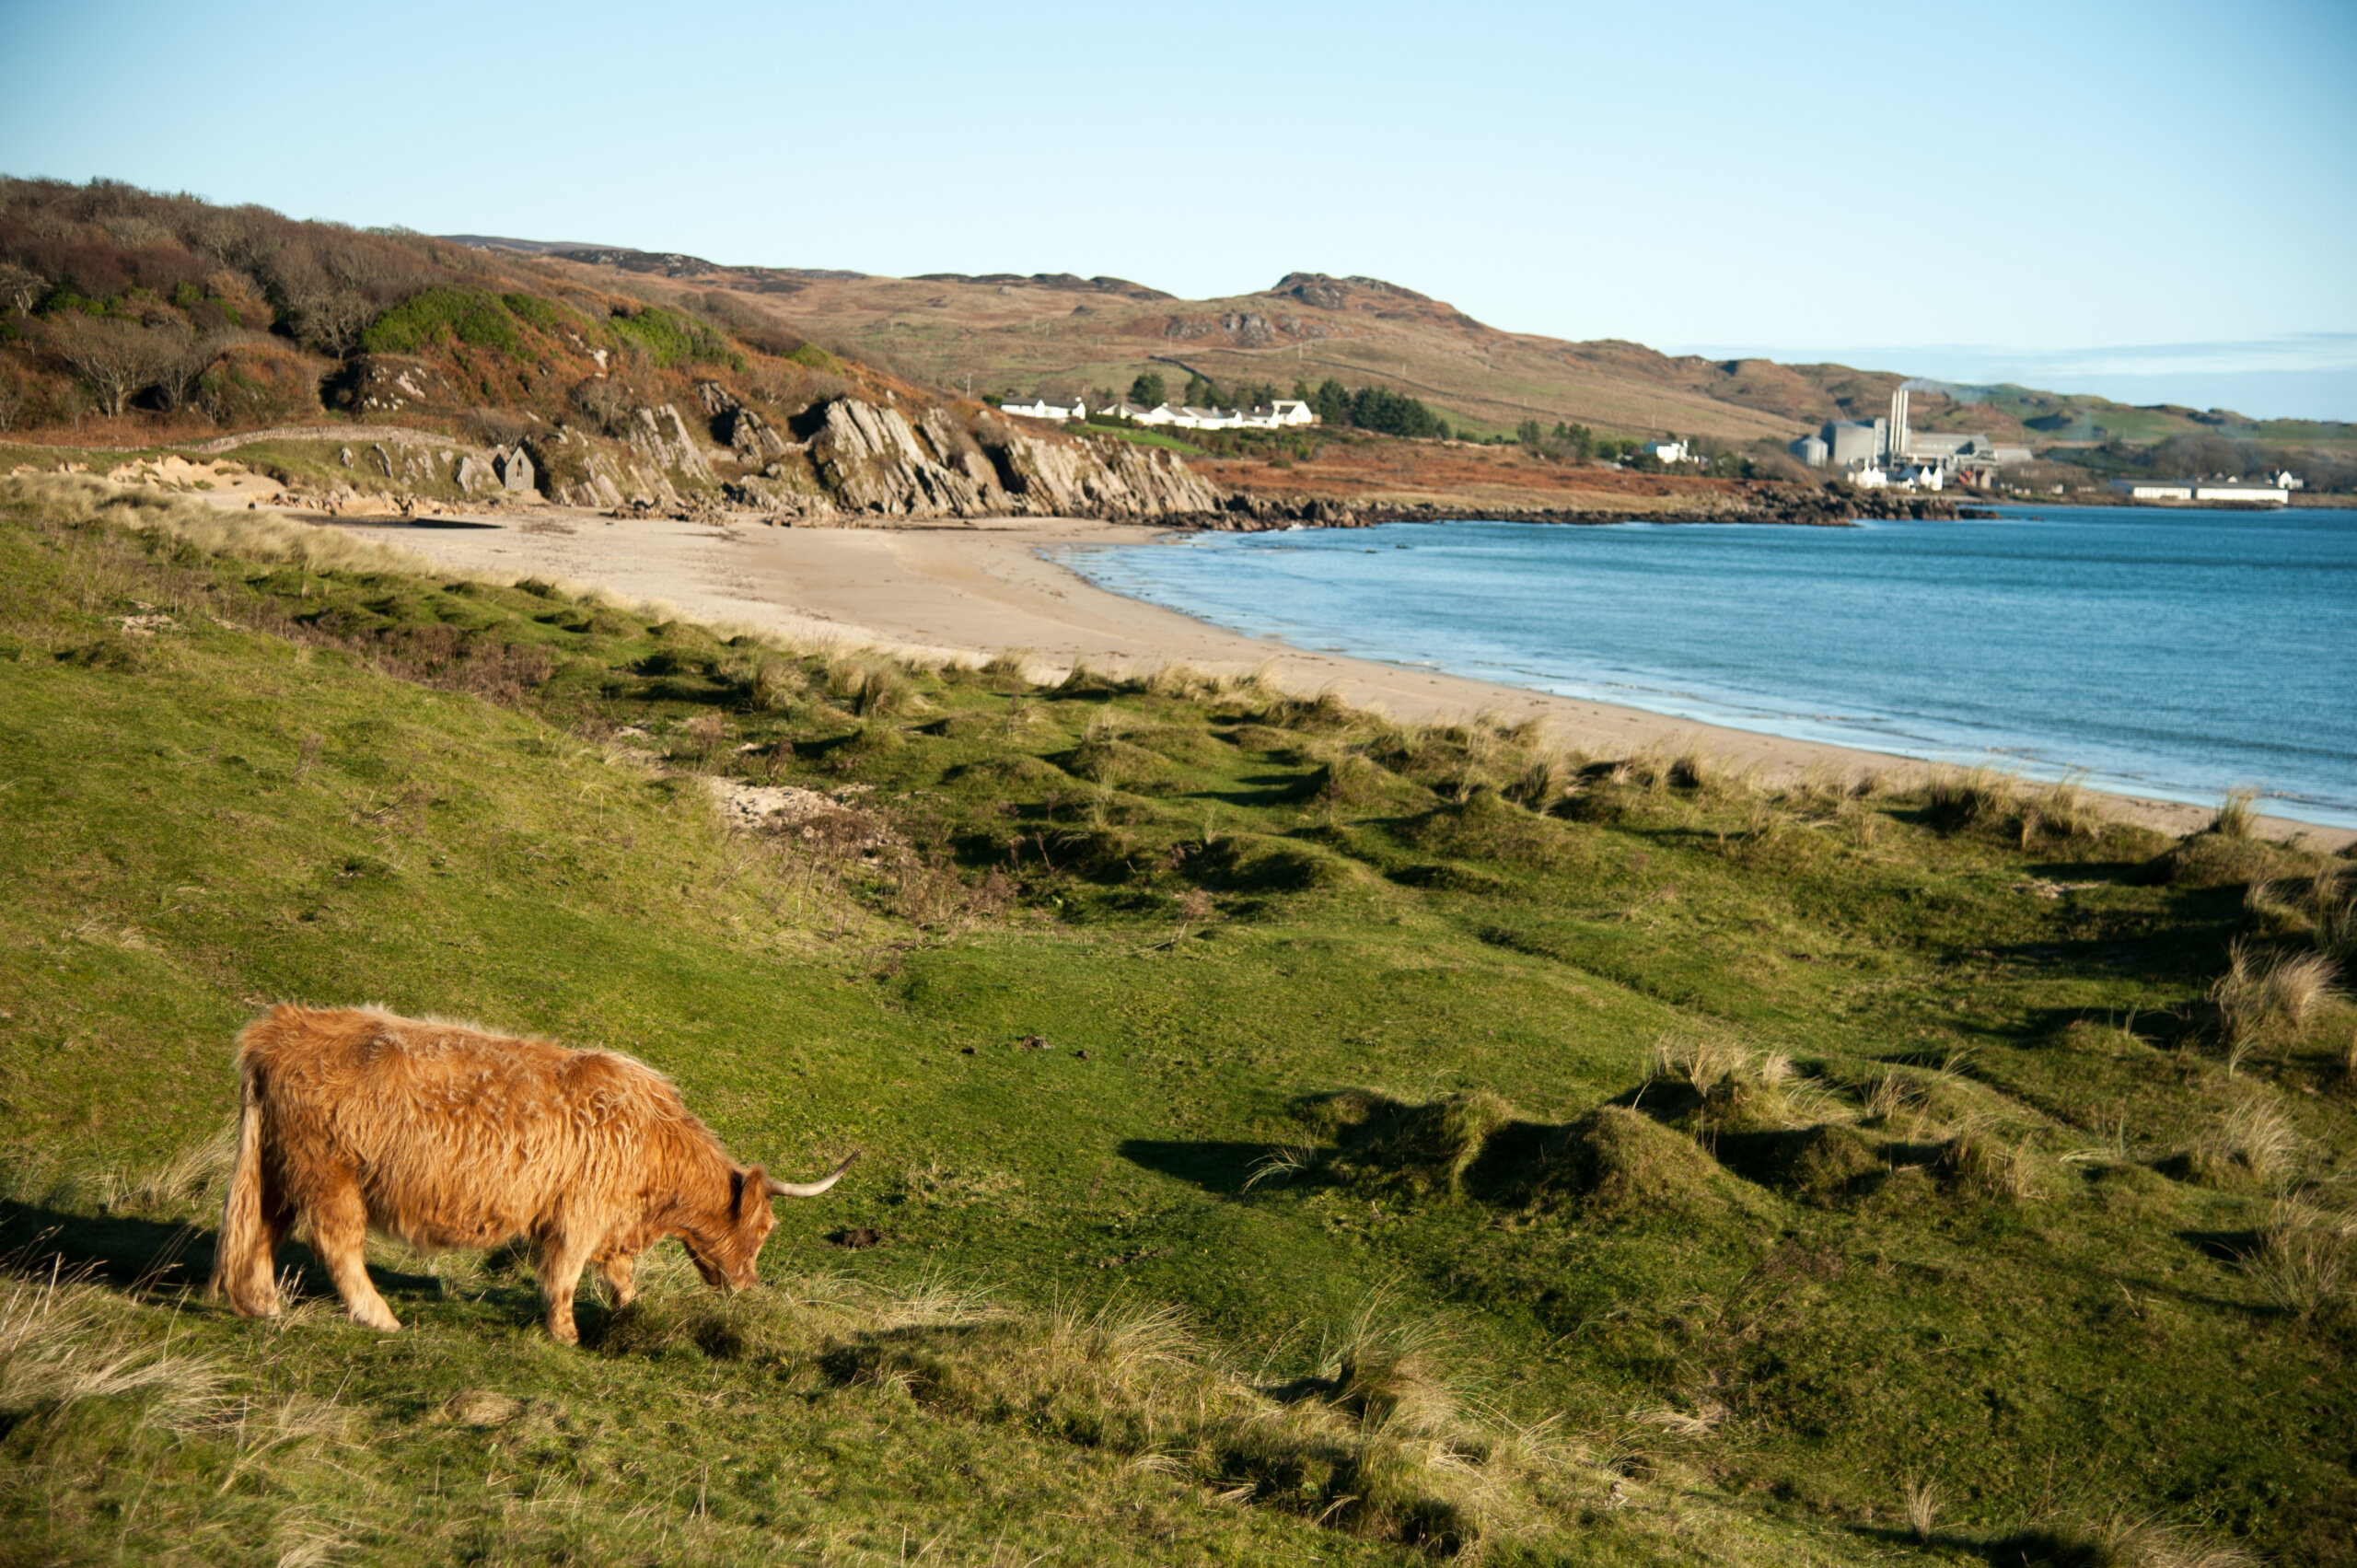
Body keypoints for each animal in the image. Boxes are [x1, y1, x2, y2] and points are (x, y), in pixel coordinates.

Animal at [204, 1009, 857, 1339]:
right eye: (765, 1229)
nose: (749, 1287)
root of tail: (276, 1029)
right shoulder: (580, 1214)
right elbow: (564, 1276)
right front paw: (565, 1335)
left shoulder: (606, 1221)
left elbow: (619, 1274)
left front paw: (628, 1312)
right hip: (329, 1174)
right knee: (336, 1243)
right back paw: (380, 1317)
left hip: (280, 1169)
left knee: (260, 1231)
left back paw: (264, 1306)